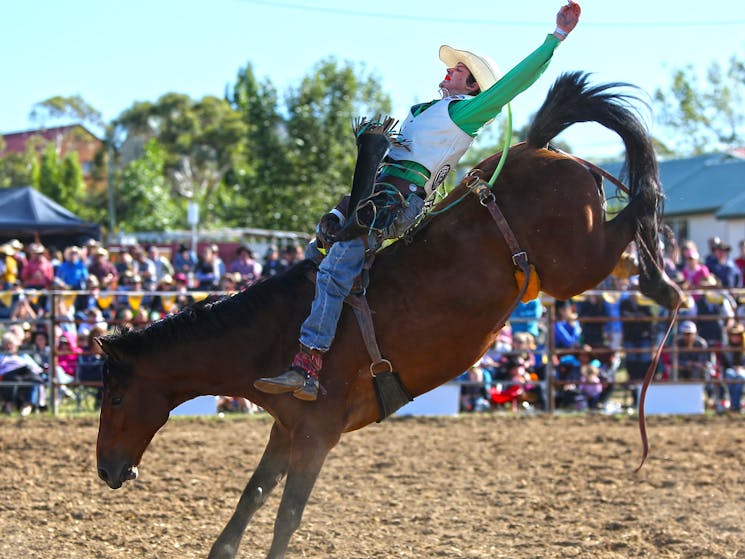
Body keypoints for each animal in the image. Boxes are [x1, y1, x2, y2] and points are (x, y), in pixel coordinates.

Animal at [94, 72, 680, 556]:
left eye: (116, 396)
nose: (107, 470)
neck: (275, 335)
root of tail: (538, 147)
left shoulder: (316, 434)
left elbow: (287, 516)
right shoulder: (285, 430)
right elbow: (253, 495)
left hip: (575, 263)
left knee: (632, 216)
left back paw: (665, 282)